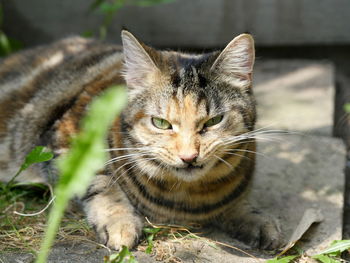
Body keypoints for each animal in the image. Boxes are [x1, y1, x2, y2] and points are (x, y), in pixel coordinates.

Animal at [0, 30, 280, 252]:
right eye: (161, 123)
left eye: (214, 121)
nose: (189, 157)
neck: (188, 197)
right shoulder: (66, 139)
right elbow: (100, 182)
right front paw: (120, 222)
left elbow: (235, 203)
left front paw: (254, 218)